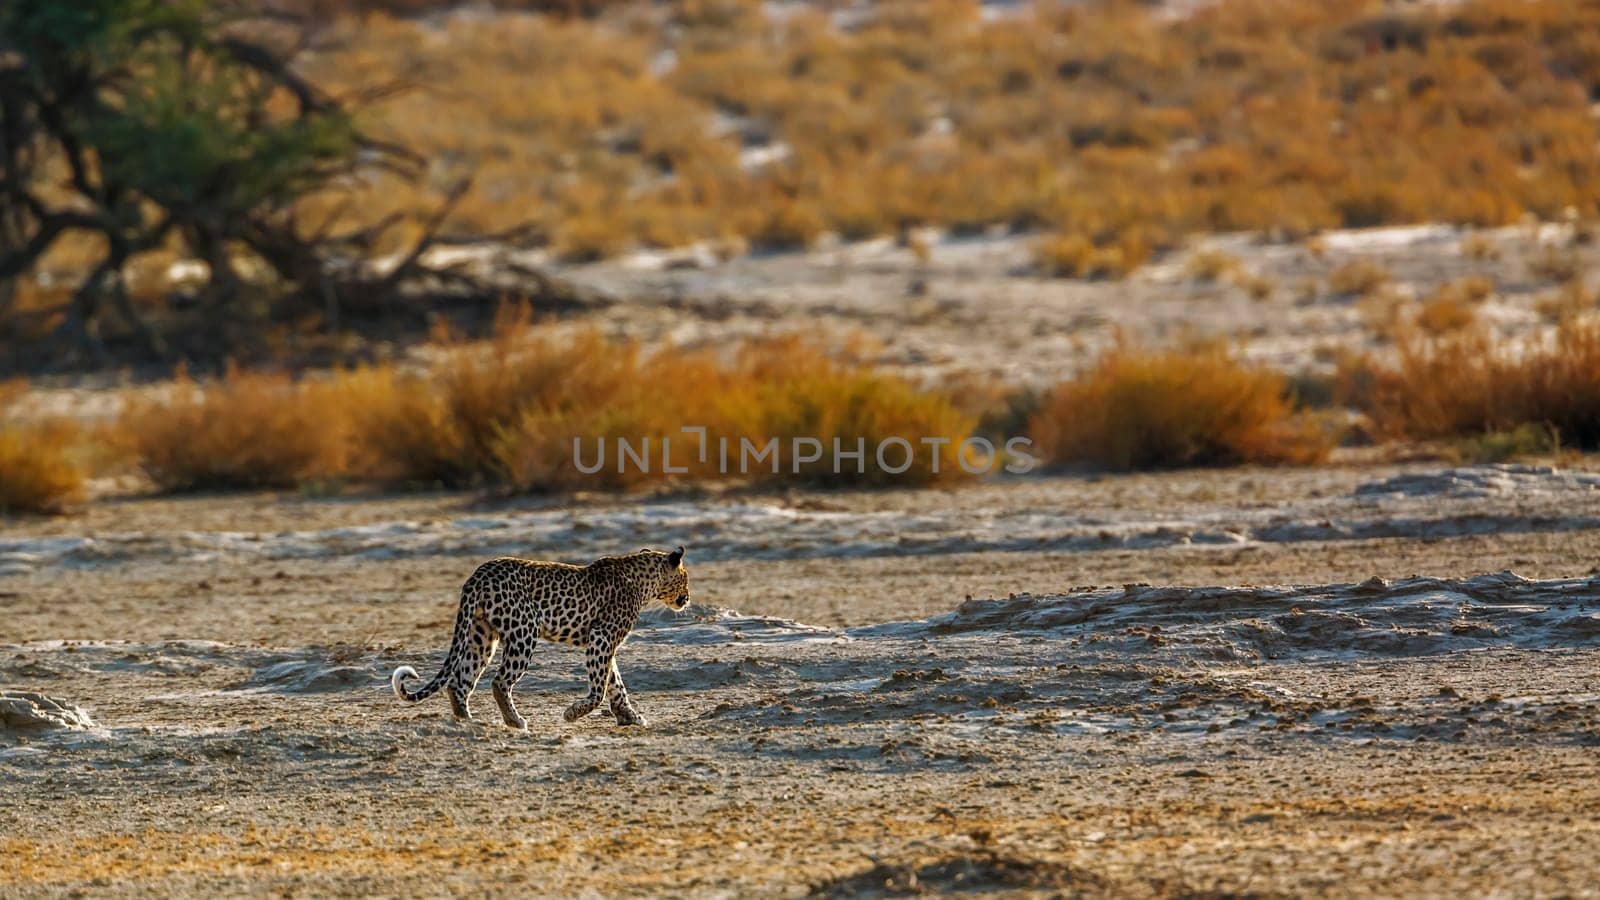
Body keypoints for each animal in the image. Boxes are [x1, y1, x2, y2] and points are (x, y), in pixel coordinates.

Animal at [392, 544, 688, 723]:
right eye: (685, 580)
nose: (687, 598)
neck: (645, 581)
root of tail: (478, 574)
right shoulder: (602, 637)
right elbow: (601, 688)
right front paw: (573, 713)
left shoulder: (603, 642)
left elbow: (615, 683)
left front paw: (630, 716)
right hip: (524, 632)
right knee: (499, 681)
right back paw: (515, 722)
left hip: (481, 635)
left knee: (460, 681)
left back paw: (467, 721)